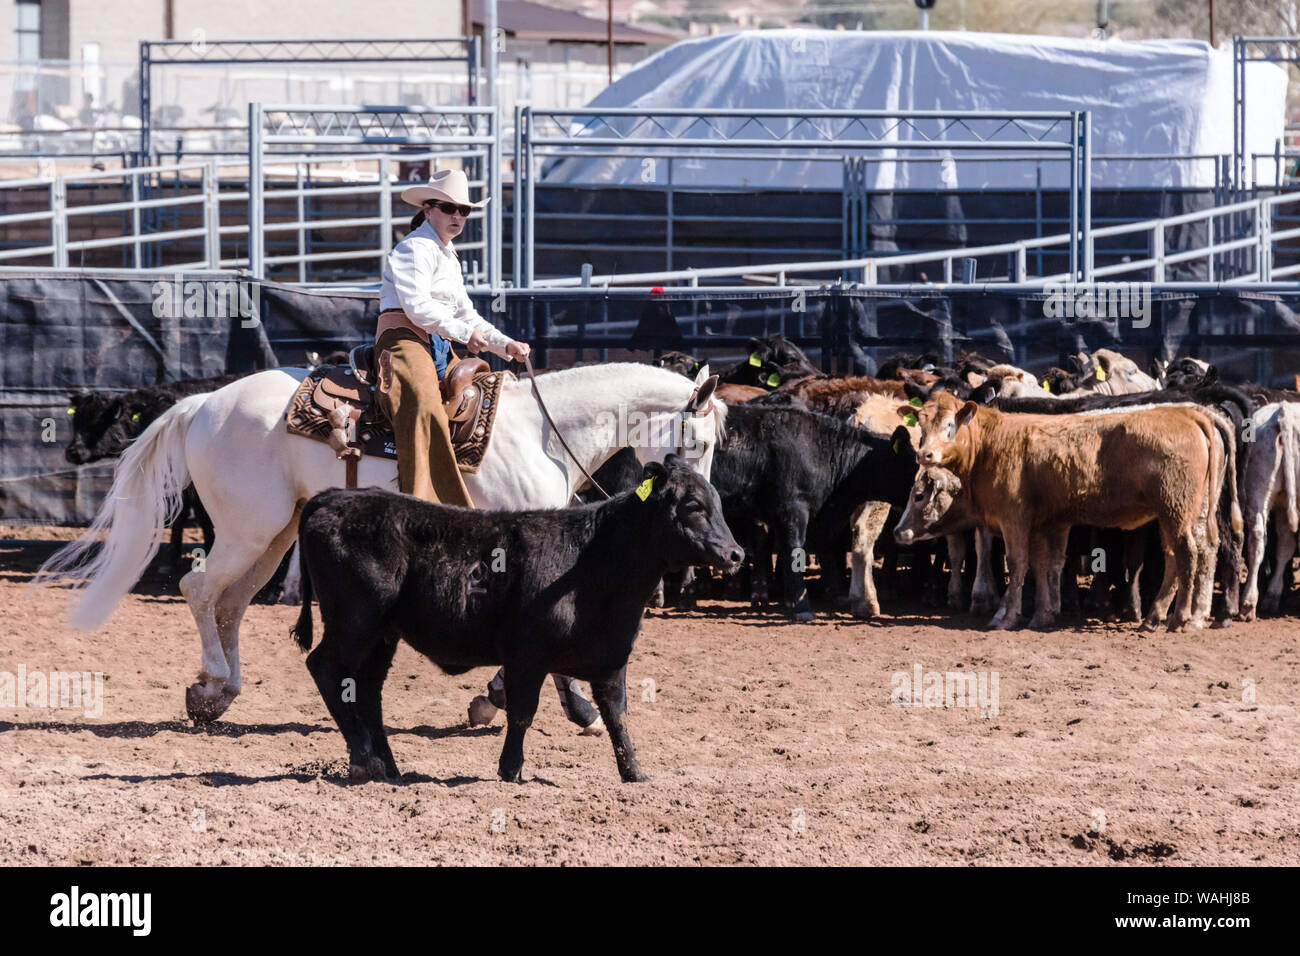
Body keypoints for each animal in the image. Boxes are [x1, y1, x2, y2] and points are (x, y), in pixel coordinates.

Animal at [40, 361, 728, 723]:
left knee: (229, 603)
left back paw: (218, 693)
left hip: (271, 535)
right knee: (197, 588)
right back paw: (210, 682)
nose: (706, 509)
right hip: (247, 528)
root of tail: (204, 403)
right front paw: (566, 706)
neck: (543, 433)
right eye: (699, 442)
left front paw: (496, 698)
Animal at [292, 455, 743, 785]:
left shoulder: (612, 657)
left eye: (718, 505)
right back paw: (363, 759)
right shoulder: (527, 655)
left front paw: (634, 773)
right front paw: (510, 769)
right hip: (354, 622)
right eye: (693, 506)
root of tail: (330, 498)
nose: (735, 554)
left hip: (382, 635)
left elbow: (618, 716)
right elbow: (523, 712)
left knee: (368, 691)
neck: (592, 558)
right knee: (325, 668)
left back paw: (388, 768)